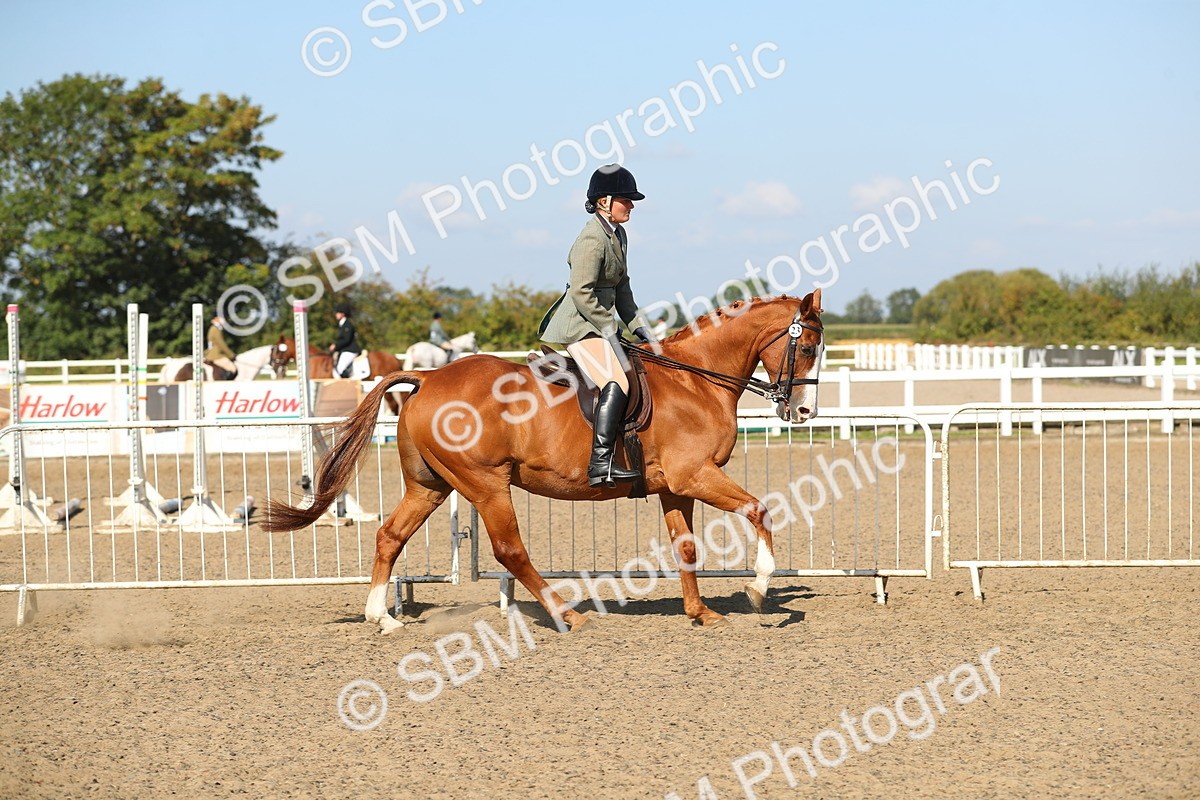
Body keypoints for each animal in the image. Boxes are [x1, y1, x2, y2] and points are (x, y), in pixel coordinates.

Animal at [264, 291, 824, 634]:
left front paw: (701, 612)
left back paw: (382, 617)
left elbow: (685, 547)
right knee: (510, 551)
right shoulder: (697, 475)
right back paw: (568, 616)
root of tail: (428, 376)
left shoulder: (676, 486)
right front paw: (757, 590)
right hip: (486, 484)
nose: (803, 413)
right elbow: (759, 510)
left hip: (431, 486)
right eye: (808, 346)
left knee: (390, 536)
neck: (695, 379)